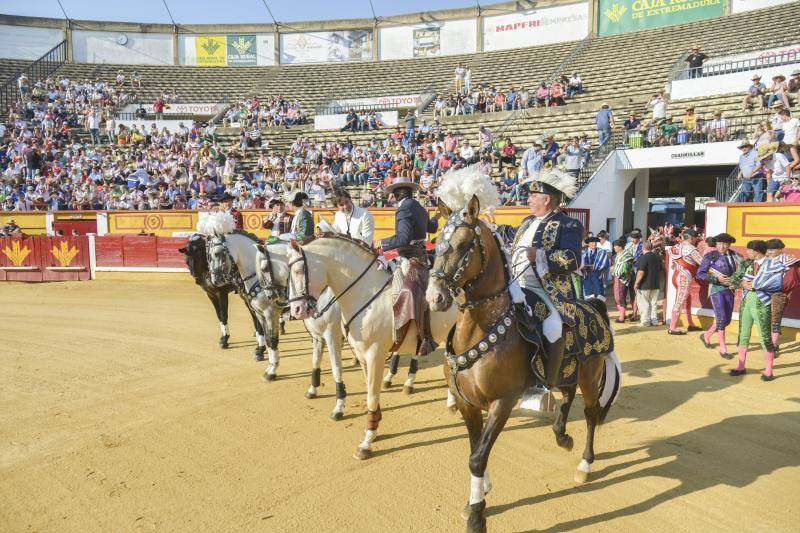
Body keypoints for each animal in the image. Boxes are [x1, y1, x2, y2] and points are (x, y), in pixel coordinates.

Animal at [286, 235, 456, 460]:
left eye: (298, 271)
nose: (296, 310)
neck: (366, 292)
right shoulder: (360, 354)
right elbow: (368, 388)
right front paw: (374, 425)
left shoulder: (373, 353)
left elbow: (370, 394)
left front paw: (367, 440)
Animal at [424, 196, 620, 532]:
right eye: (436, 243)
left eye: (463, 244)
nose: (434, 297)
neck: (481, 329)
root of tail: (594, 305)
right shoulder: (466, 403)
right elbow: (475, 449)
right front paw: (480, 493)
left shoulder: (503, 401)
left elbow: (477, 456)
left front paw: (476, 515)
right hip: (567, 372)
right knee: (567, 396)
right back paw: (562, 437)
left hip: (590, 376)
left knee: (591, 414)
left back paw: (584, 463)